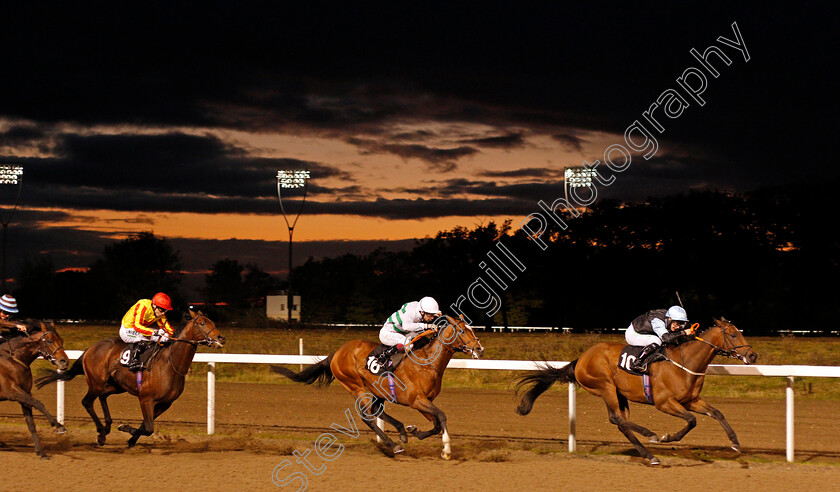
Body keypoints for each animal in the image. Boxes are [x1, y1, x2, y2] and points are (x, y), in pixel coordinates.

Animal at [0, 322, 70, 458]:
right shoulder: (11, 392)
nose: (64, 362)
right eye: (49, 340)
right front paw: (59, 425)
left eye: (61, 340)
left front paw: (41, 452)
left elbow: (31, 423)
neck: (14, 358)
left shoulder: (25, 393)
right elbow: (38, 403)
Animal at [37, 312, 223, 446]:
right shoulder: (146, 398)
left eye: (212, 321)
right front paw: (124, 428)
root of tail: (91, 348)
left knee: (103, 396)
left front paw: (131, 439)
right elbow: (148, 427)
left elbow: (145, 426)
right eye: (202, 323)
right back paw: (101, 432)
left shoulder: (165, 404)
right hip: (96, 382)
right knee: (87, 401)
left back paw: (107, 427)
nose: (221, 338)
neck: (171, 364)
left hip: (117, 385)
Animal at [272, 316, 482, 458]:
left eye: (472, 329)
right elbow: (442, 416)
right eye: (462, 331)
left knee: (377, 411)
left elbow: (437, 423)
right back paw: (394, 445)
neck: (426, 362)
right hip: (355, 386)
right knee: (367, 416)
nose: (479, 349)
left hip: (376, 391)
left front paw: (414, 430)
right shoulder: (416, 400)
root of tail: (337, 353)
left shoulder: (425, 401)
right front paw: (446, 450)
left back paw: (402, 432)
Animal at [516, 320, 756, 466]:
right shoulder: (664, 402)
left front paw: (735, 443)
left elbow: (716, 413)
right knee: (616, 418)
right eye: (733, 334)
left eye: (740, 332)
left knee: (622, 423)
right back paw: (650, 435)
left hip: (620, 394)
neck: (684, 362)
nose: (752, 356)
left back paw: (649, 455)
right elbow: (692, 420)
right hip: (605, 386)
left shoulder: (691, 400)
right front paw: (668, 437)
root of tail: (580, 359)